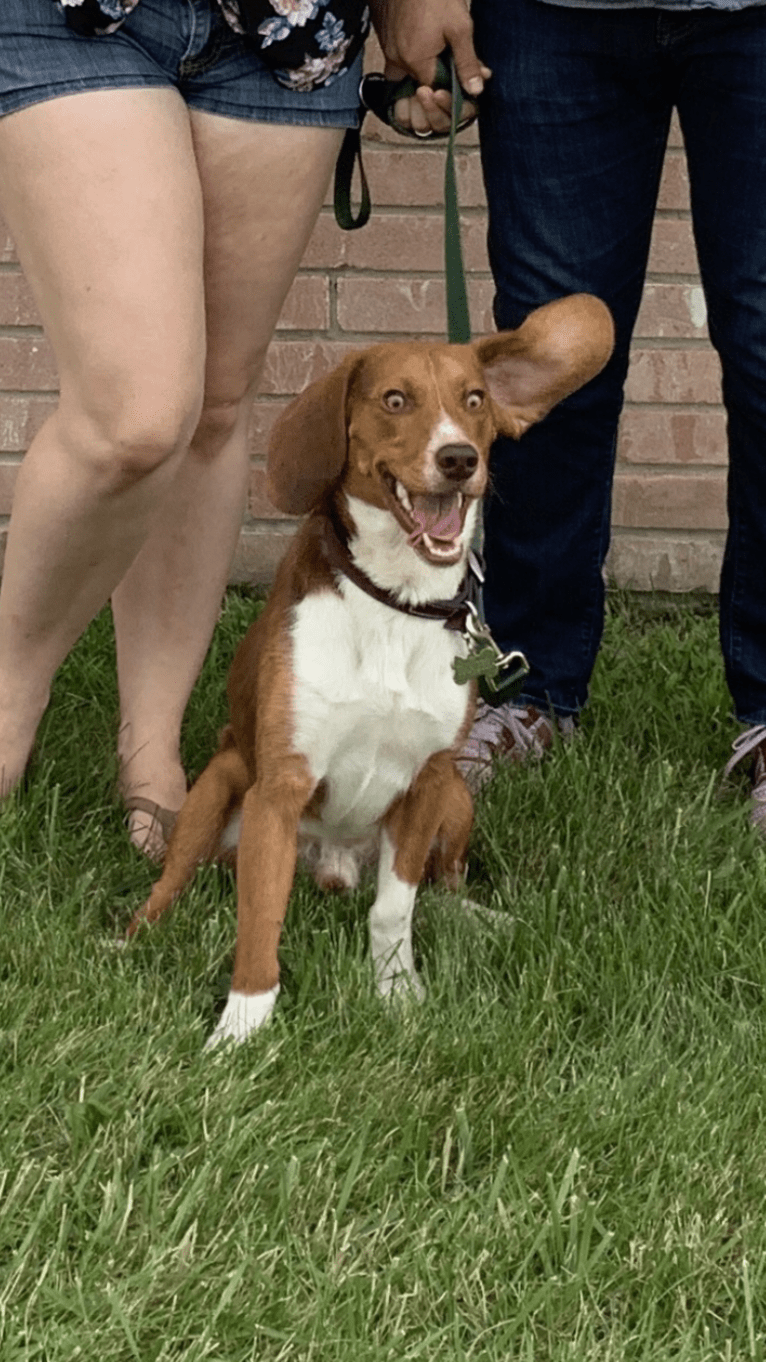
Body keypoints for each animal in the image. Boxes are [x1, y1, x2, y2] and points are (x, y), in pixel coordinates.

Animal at [126, 295, 613, 1040]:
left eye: (475, 399)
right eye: (394, 399)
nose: (459, 458)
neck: (395, 601)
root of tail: (330, 871)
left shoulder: (424, 784)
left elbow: (394, 908)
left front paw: (396, 991)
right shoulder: (279, 790)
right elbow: (259, 922)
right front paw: (239, 1031)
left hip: (458, 796)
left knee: (443, 884)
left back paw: (478, 917)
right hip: (219, 781)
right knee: (172, 878)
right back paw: (130, 937)